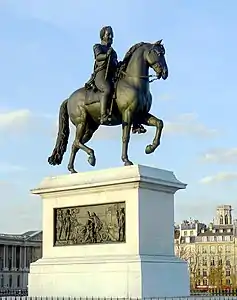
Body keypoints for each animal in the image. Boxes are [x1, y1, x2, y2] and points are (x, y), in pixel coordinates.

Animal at [48, 39, 168, 173]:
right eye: (158, 53)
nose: (165, 73)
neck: (133, 83)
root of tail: (69, 99)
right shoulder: (128, 113)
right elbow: (125, 137)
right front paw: (126, 160)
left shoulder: (141, 115)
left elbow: (159, 123)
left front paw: (150, 148)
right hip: (81, 122)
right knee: (76, 142)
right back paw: (91, 157)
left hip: (90, 127)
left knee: (75, 144)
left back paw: (72, 169)